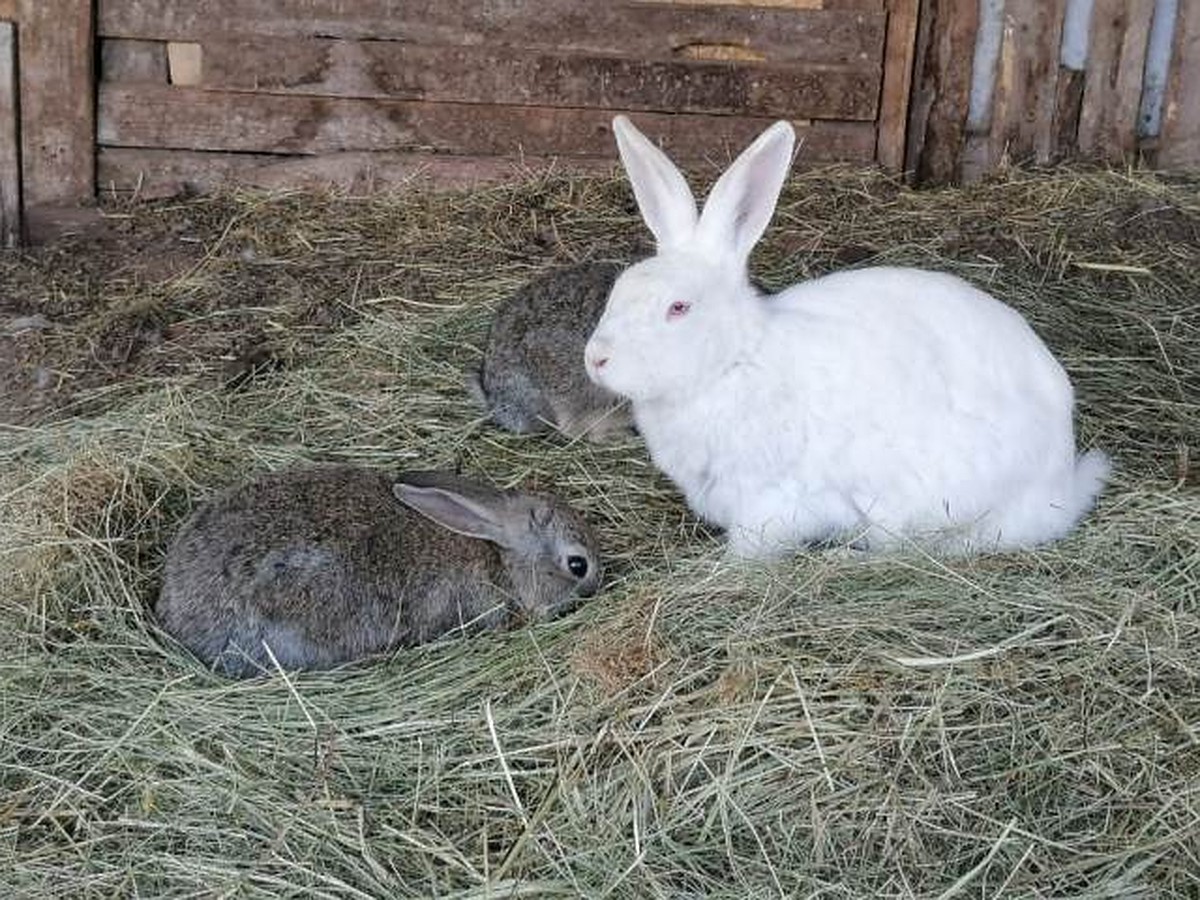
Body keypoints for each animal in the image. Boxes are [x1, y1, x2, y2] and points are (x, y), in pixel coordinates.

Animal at [585, 116, 1108, 561]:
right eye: (619, 289)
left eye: (678, 308)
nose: (596, 358)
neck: (733, 363)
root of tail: (1064, 476)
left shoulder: (773, 502)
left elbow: (754, 546)